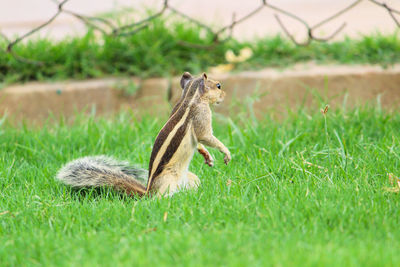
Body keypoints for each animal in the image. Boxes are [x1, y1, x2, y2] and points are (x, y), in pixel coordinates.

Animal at [55, 72, 231, 198]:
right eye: (218, 85)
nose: (225, 95)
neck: (190, 96)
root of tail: (148, 191)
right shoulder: (201, 115)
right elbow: (205, 136)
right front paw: (226, 152)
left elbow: (200, 142)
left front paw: (206, 155)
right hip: (168, 180)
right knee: (158, 199)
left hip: (191, 178)